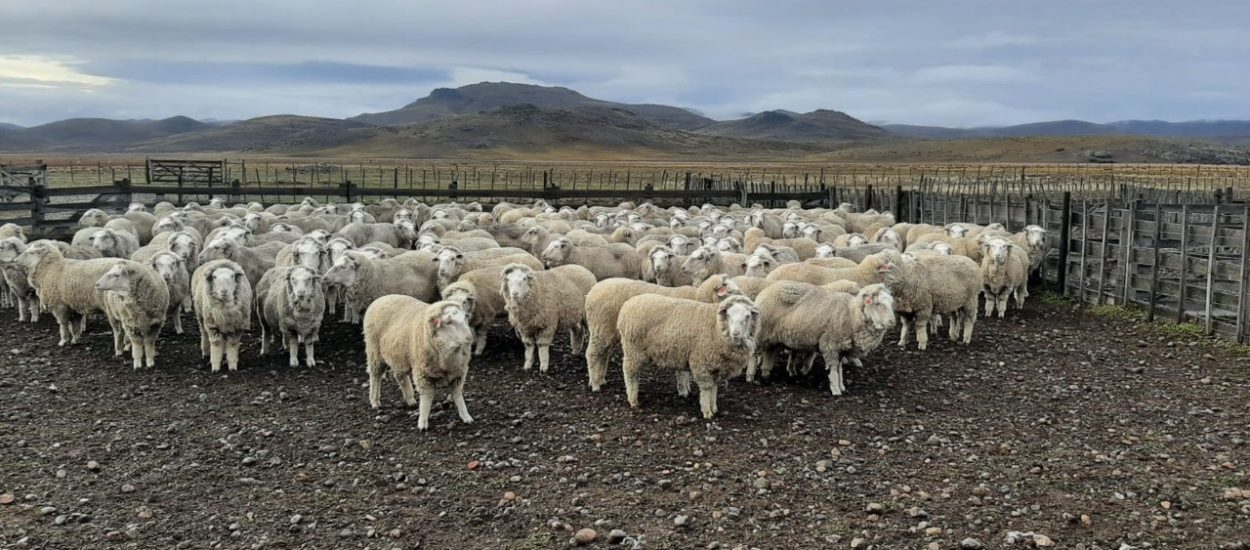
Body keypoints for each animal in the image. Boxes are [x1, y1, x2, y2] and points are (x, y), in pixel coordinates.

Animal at [365, 296, 477, 430]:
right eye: (449, 322)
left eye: (465, 318)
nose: (469, 338)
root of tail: (382, 297)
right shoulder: (422, 373)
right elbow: (426, 398)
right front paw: (423, 422)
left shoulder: (458, 373)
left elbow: (457, 395)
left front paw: (466, 416)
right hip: (374, 351)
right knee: (375, 375)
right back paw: (375, 401)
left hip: (400, 356)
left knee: (399, 375)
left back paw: (410, 399)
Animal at [617, 293, 760, 420]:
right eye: (728, 315)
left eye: (747, 316)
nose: (735, 334)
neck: (716, 327)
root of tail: (627, 304)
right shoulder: (702, 362)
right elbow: (707, 388)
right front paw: (707, 412)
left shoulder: (715, 366)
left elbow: (714, 387)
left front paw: (714, 407)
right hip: (632, 349)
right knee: (630, 374)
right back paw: (633, 400)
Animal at [755, 281, 895, 392]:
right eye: (877, 303)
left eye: (891, 302)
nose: (892, 322)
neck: (851, 315)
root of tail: (764, 291)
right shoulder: (830, 345)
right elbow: (833, 369)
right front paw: (835, 389)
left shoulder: (841, 348)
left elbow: (840, 369)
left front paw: (841, 386)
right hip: (761, 334)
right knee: (754, 354)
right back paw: (753, 374)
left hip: (771, 338)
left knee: (769, 353)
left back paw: (766, 373)